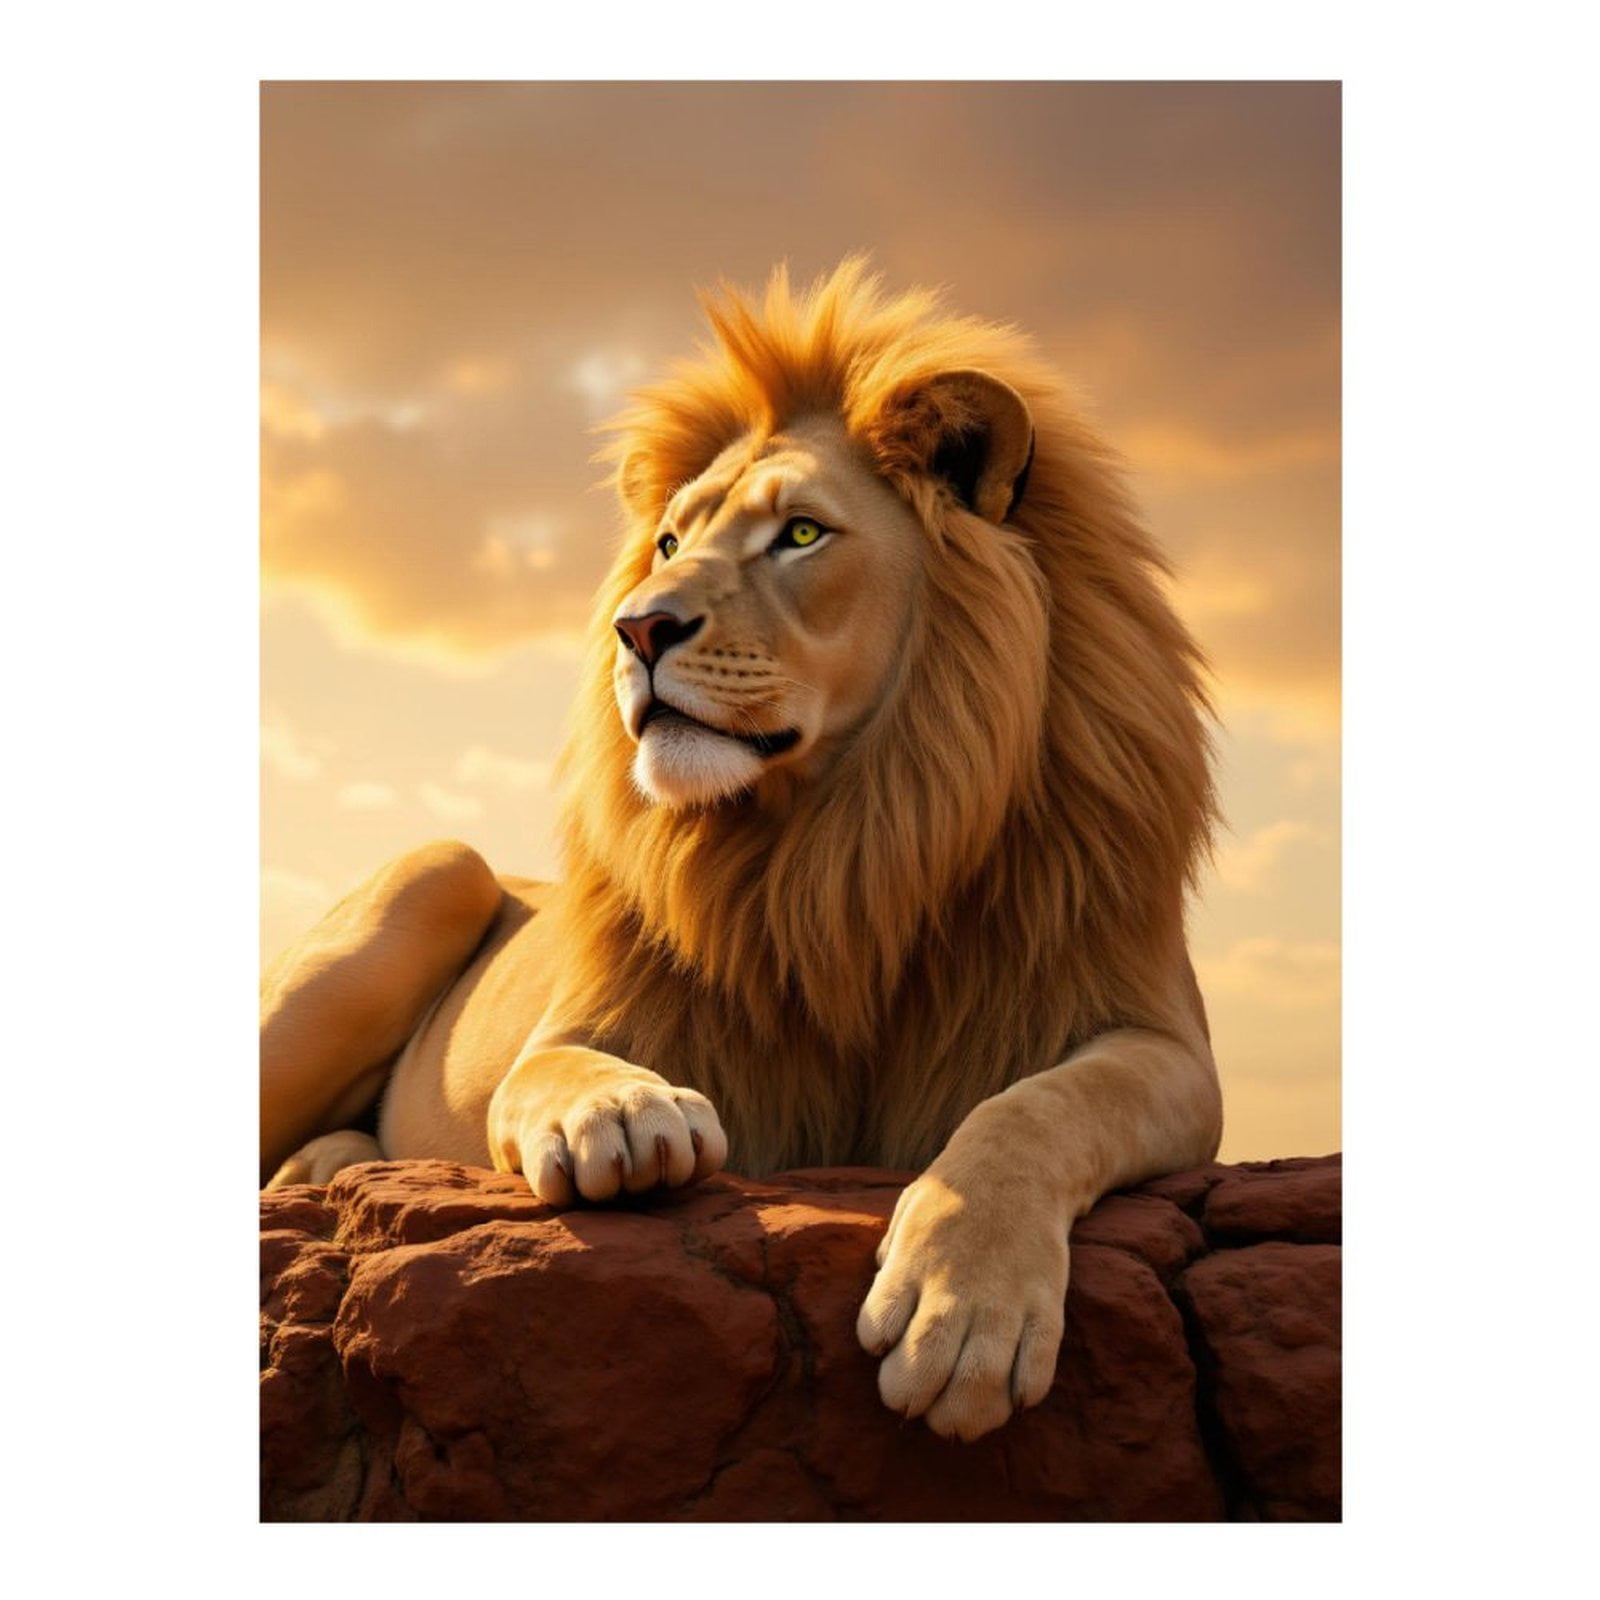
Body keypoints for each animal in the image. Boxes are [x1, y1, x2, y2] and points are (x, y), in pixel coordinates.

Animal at [261, 259, 1223, 1443]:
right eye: (670, 544)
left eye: (800, 536)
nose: (636, 629)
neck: (841, 841)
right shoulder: (583, 1026)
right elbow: (560, 1069)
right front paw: (626, 1116)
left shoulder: (1163, 1045)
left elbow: (1033, 1110)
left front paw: (963, 1308)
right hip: (436, 871)